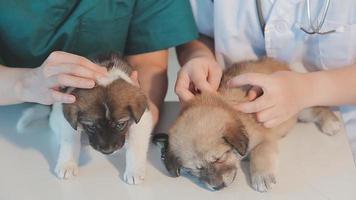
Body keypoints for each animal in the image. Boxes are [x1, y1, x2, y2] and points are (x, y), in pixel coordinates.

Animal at [16, 53, 153, 184]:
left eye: (120, 125)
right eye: (91, 126)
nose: (108, 151)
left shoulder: (143, 121)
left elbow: (136, 146)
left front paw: (134, 171)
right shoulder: (68, 122)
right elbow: (70, 141)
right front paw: (67, 164)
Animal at [162, 58, 342, 192]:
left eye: (219, 158)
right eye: (196, 169)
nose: (217, 187)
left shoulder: (264, 140)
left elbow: (260, 155)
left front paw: (262, 176)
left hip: (301, 109)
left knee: (320, 108)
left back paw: (331, 123)